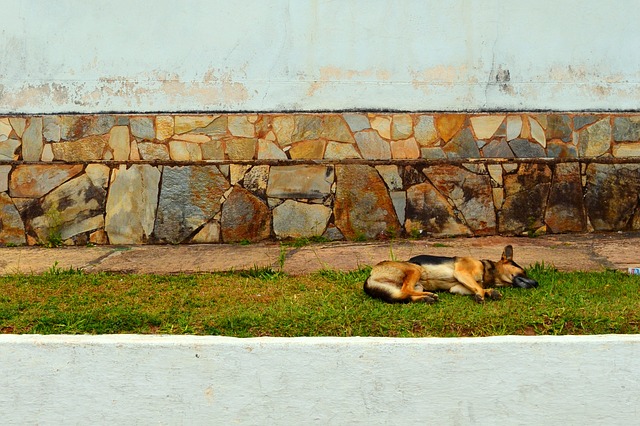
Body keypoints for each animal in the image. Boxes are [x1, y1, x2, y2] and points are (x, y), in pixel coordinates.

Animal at [362, 245, 536, 304]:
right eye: (524, 271)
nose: (537, 283)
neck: (488, 270)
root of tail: (370, 276)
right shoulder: (462, 273)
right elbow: (478, 288)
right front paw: (482, 295)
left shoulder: (457, 287)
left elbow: (477, 287)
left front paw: (490, 292)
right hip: (415, 270)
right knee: (405, 290)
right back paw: (429, 295)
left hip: (415, 285)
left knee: (406, 295)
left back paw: (426, 298)